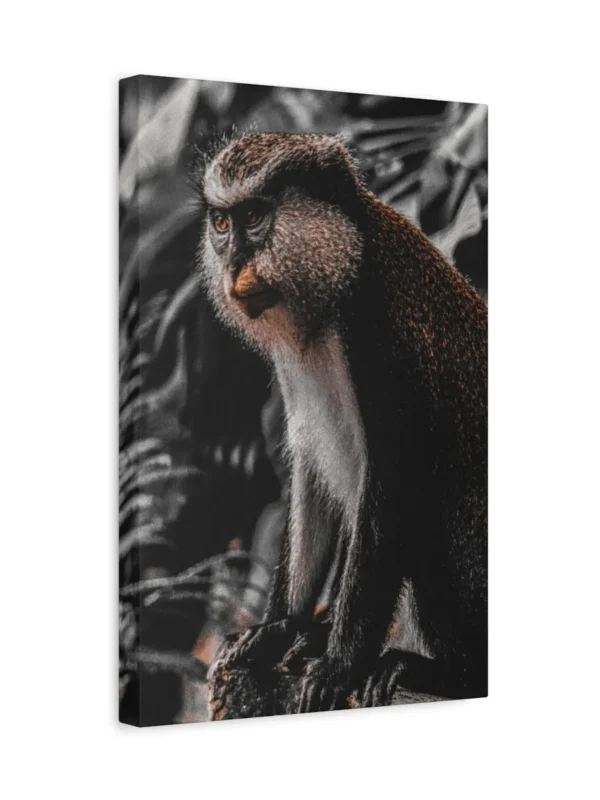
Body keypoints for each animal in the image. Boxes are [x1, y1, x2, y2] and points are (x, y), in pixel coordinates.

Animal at [196, 132, 487, 713]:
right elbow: (311, 474)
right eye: (221, 223)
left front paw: (339, 663)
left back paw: (445, 674)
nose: (234, 263)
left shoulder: (379, 330)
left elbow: (395, 483)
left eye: (255, 216)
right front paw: (280, 628)